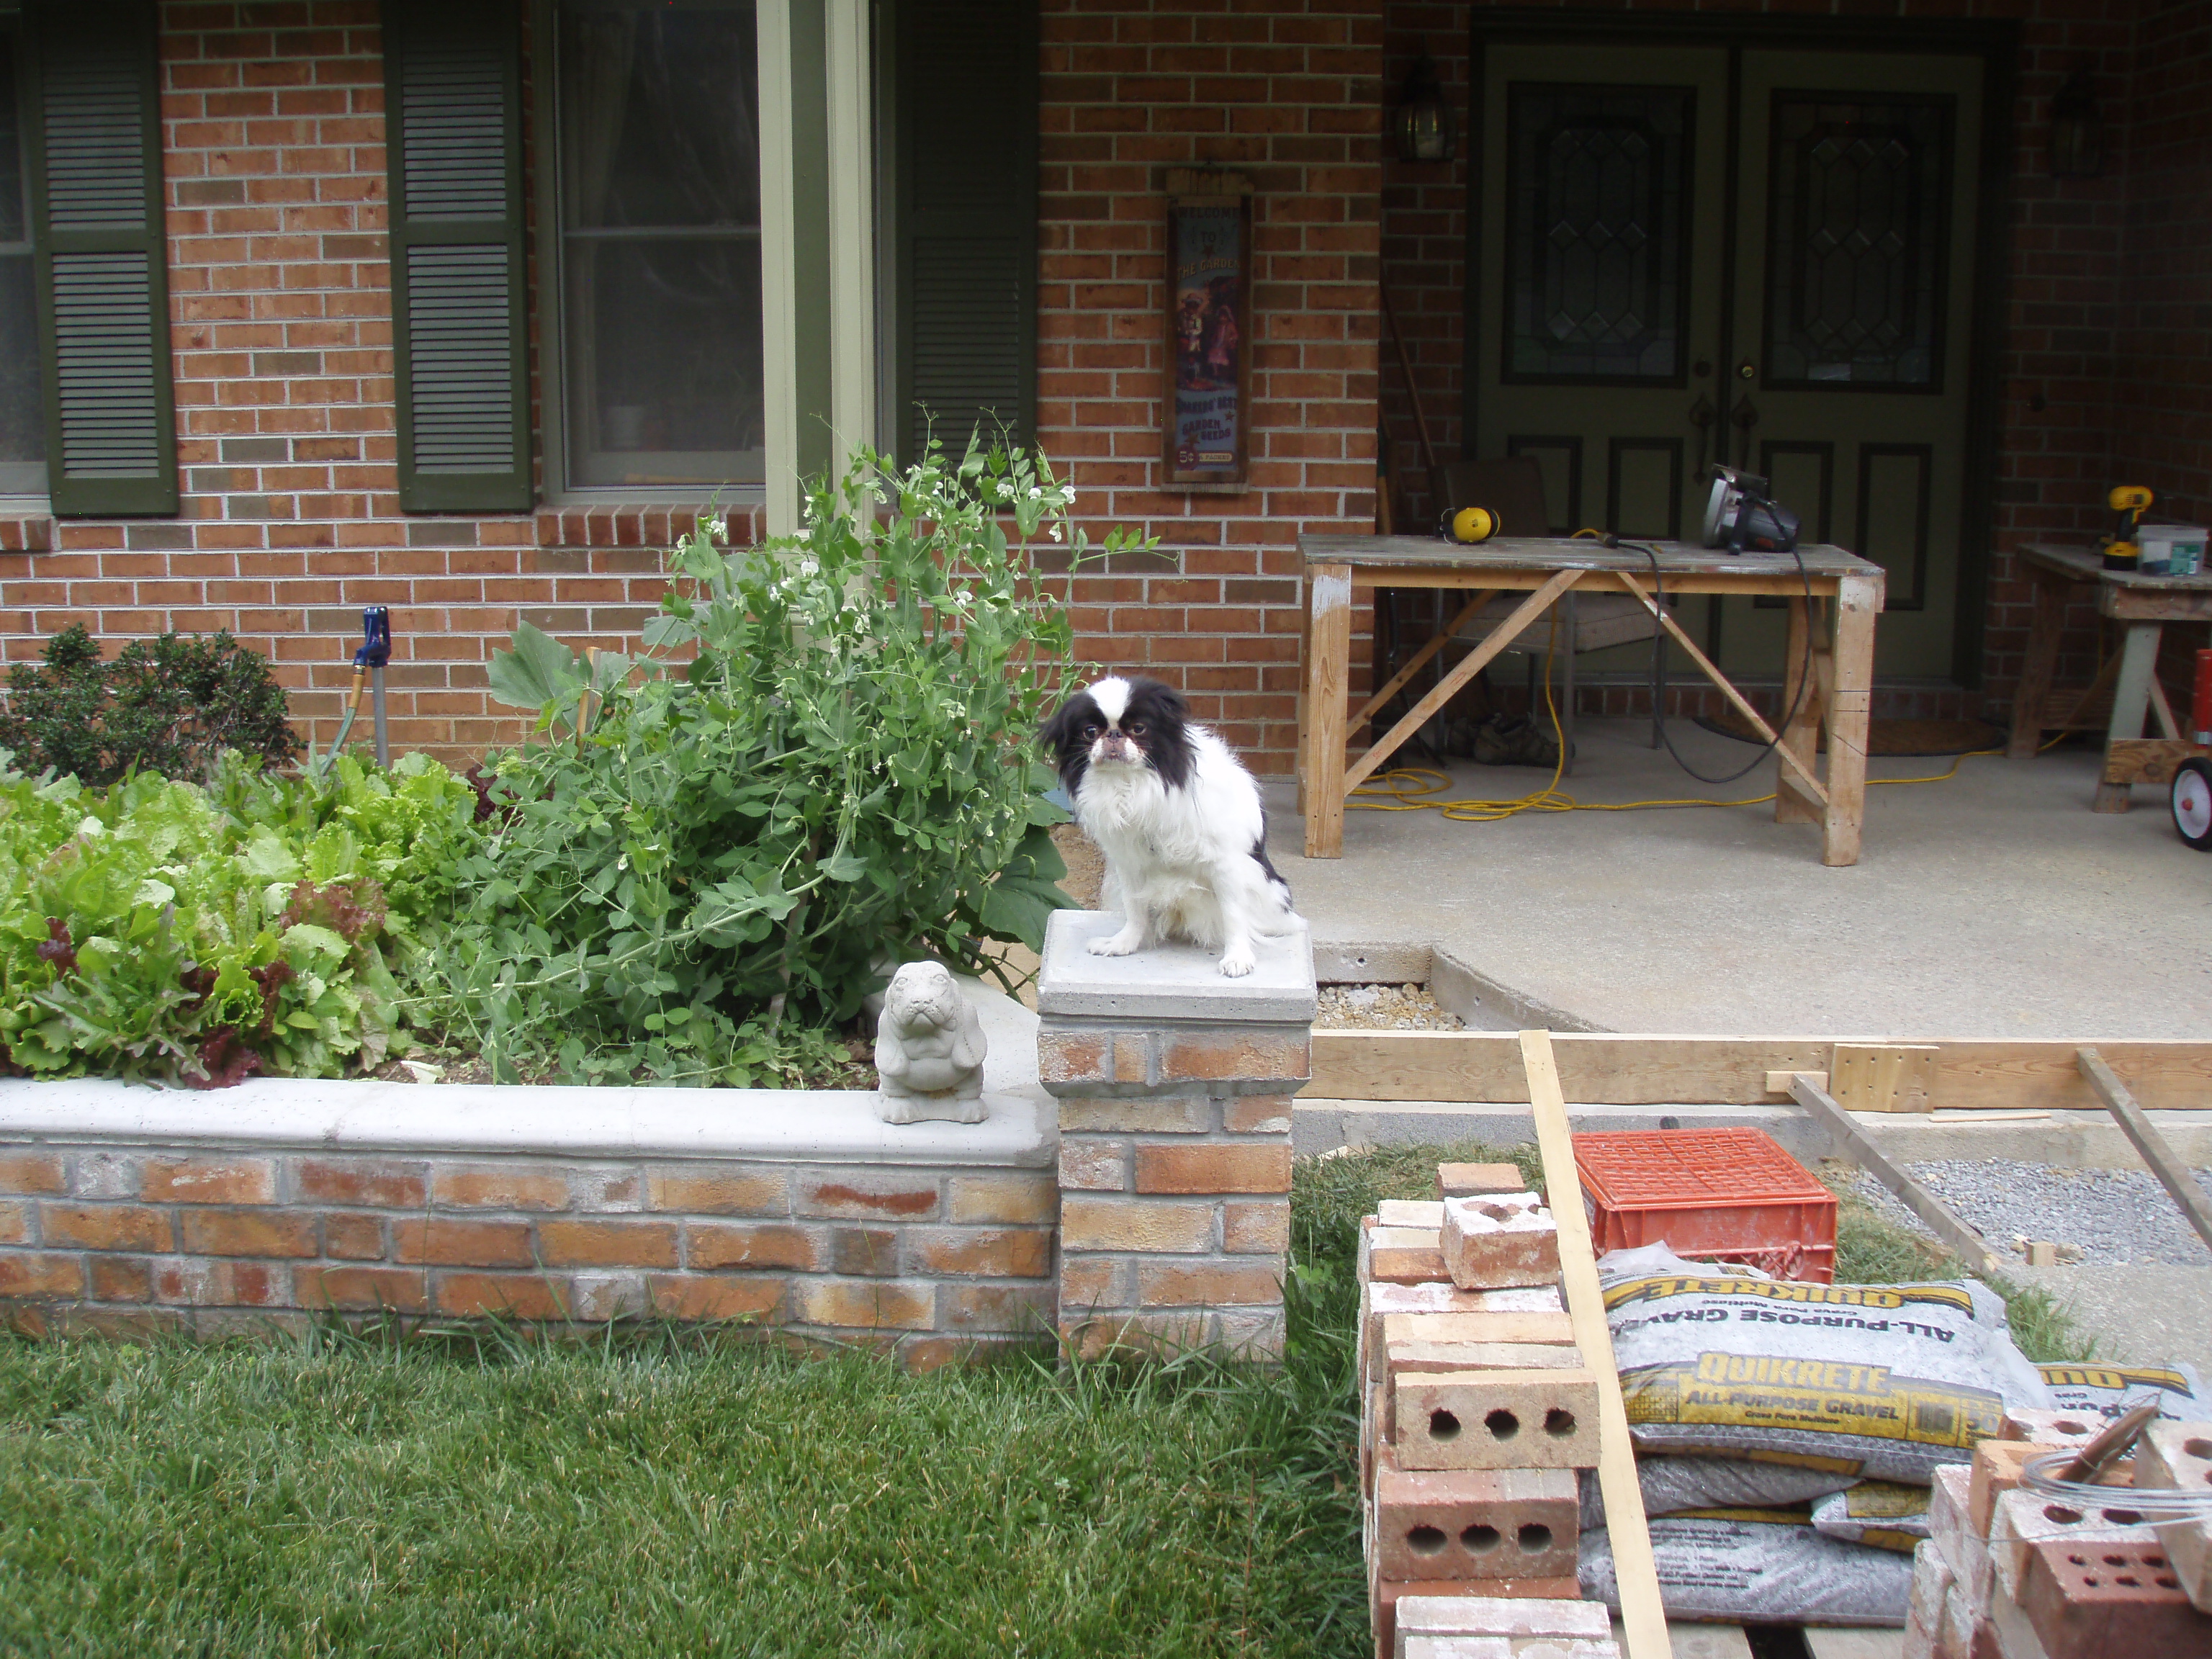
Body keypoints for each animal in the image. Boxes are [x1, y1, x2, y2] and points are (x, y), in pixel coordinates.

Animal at [1043, 677, 1300, 981]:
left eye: (1138, 729)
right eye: (1090, 731)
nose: (1114, 735)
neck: (1131, 784)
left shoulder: (1226, 865)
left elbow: (1233, 913)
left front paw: (1238, 957)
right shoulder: (1129, 864)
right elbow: (1135, 908)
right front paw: (1125, 943)